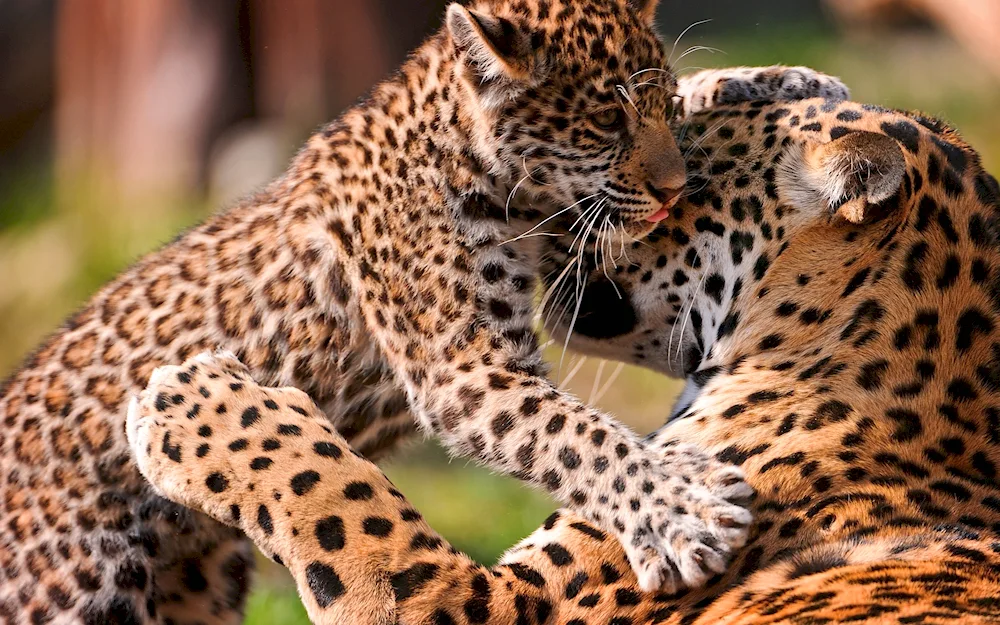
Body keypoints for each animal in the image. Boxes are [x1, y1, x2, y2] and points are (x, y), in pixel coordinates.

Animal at [0, 0, 852, 616]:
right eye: (604, 123)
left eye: (663, 105)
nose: (675, 190)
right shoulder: (465, 367)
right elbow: (579, 437)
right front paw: (685, 511)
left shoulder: (564, 229)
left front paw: (788, 81)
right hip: (71, 589)